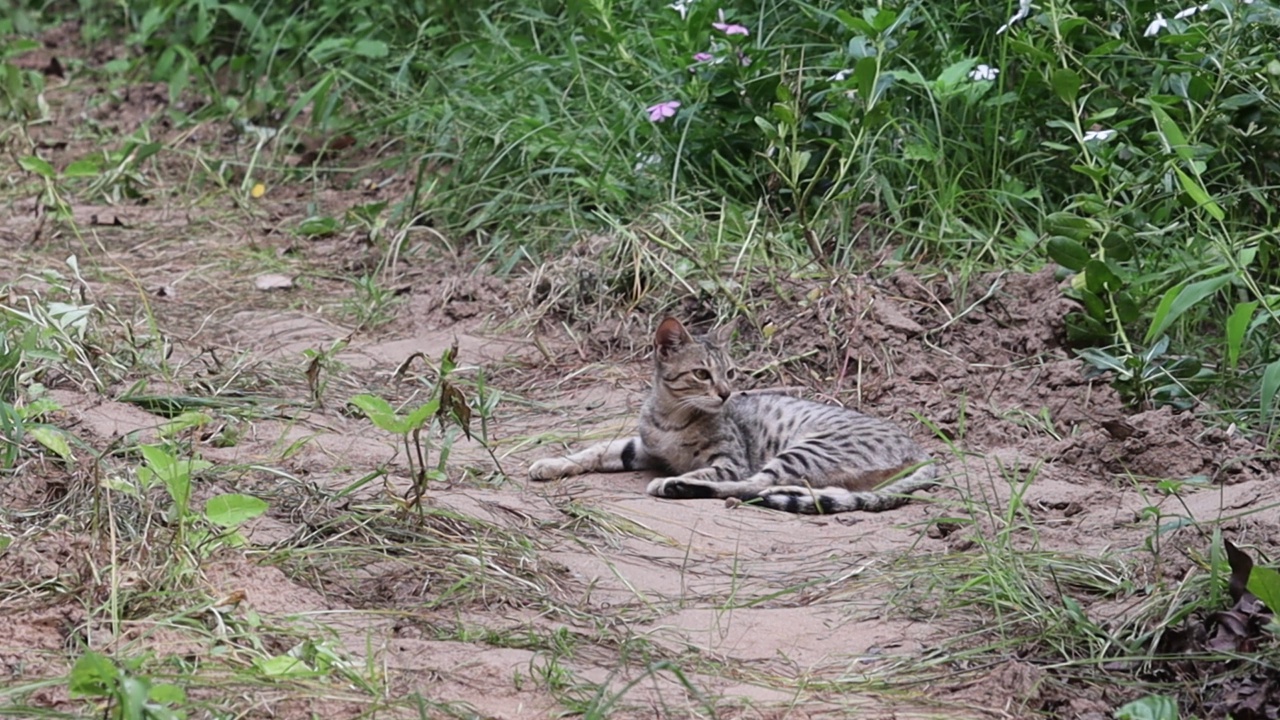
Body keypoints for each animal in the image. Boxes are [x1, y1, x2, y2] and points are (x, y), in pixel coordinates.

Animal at [524, 313, 936, 509]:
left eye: (731, 373)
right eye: (702, 374)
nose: (726, 393)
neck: (672, 416)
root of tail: (924, 452)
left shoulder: (730, 461)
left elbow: (718, 471)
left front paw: (678, 478)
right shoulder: (644, 447)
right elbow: (597, 449)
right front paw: (551, 463)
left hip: (808, 448)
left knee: (754, 484)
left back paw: (675, 486)